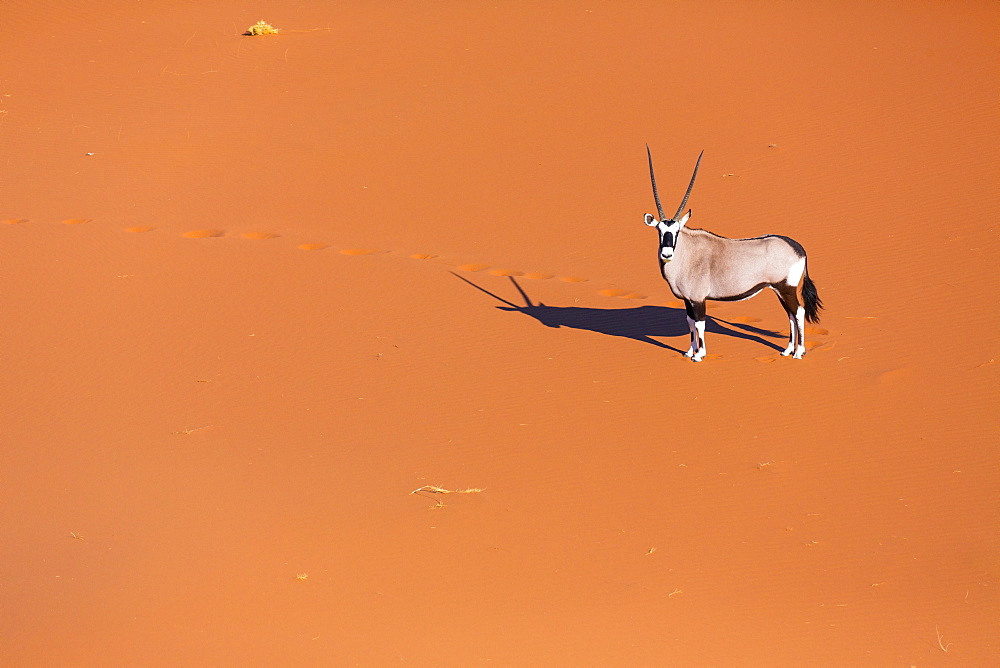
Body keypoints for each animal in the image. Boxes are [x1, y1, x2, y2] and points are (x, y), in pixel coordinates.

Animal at [644, 147, 824, 360]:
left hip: (786, 288)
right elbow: (689, 322)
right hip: (780, 290)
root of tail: (798, 248)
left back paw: (799, 352)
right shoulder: (688, 300)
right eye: (659, 231)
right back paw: (788, 349)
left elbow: (699, 324)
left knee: (798, 313)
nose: (666, 254)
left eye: (677, 231)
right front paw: (689, 351)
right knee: (790, 315)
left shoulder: (698, 299)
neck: (688, 253)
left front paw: (700, 354)